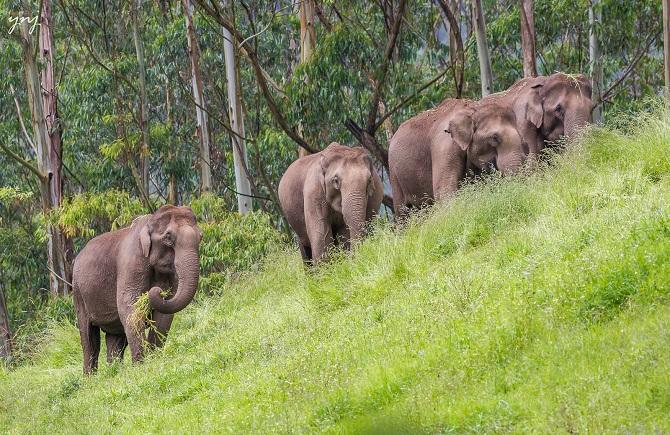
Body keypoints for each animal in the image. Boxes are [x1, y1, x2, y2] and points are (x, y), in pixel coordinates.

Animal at [72, 205, 202, 374]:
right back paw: (91, 378)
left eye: (201, 237)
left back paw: (115, 372)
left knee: (116, 338)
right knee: (89, 338)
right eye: (168, 237)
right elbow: (129, 308)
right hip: (78, 293)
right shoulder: (131, 263)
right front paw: (140, 366)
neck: (149, 222)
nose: (158, 291)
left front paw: (153, 359)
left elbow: (164, 316)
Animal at [388, 98, 532, 217]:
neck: (473, 109)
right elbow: (444, 191)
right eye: (494, 138)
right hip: (394, 176)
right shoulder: (444, 146)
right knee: (403, 212)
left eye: (522, 140)